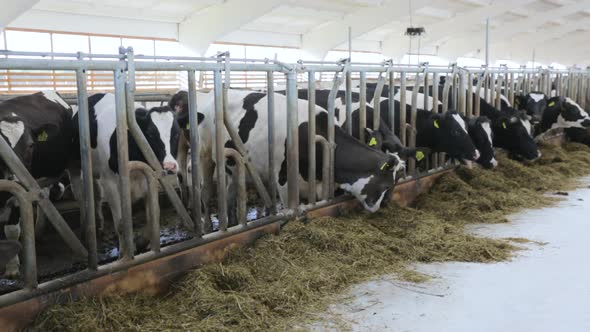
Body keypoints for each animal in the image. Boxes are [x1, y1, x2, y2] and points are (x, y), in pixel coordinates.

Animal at [70, 92, 180, 253]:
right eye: (150, 134)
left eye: (176, 134)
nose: (170, 166)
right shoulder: (109, 183)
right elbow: (121, 224)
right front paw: (124, 252)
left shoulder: (149, 178)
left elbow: (154, 215)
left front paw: (141, 242)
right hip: (77, 166)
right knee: (84, 194)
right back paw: (88, 229)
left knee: (96, 195)